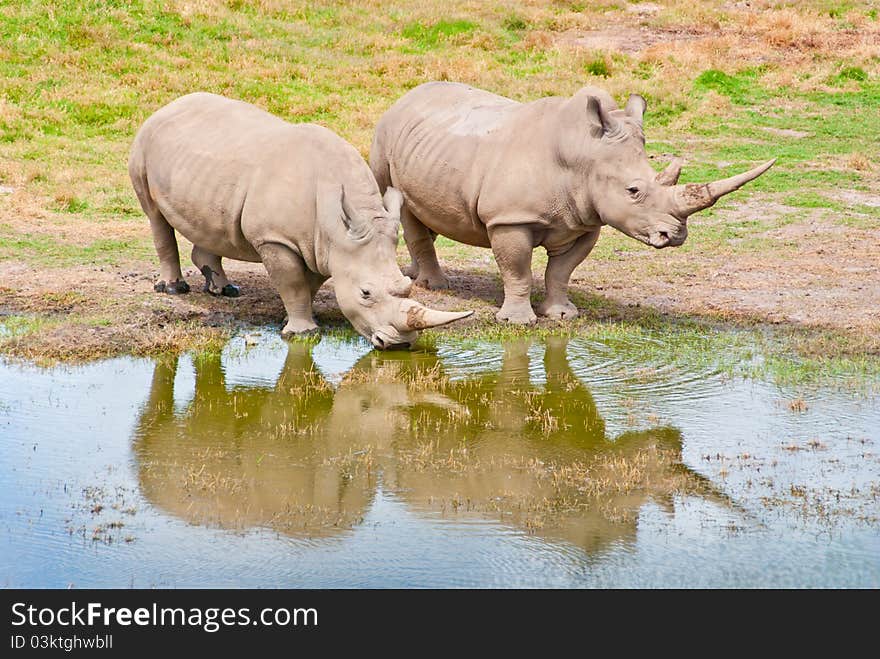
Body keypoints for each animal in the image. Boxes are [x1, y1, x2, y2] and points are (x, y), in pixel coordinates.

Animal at [128, 94, 470, 350]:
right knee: (155, 216)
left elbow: (308, 284)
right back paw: (173, 290)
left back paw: (225, 290)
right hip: (143, 143)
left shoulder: (322, 245)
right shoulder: (275, 238)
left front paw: (294, 321)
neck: (334, 227)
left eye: (406, 286)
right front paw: (303, 333)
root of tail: (168, 106)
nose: (400, 344)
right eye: (365, 294)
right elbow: (291, 281)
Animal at [368, 82, 772, 324]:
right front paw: (518, 322)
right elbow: (517, 269)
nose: (674, 236)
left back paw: (415, 276)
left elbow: (561, 271)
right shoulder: (510, 219)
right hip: (384, 136)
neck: (583, 155)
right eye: (633, 191)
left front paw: (562, 315)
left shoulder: (586, 220)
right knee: (401, 204)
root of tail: (406, 97)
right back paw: (434, 286)